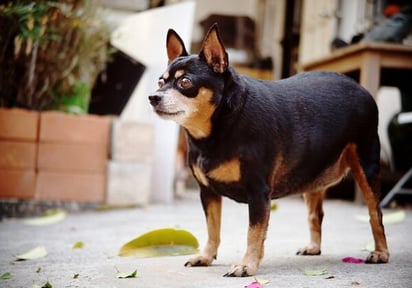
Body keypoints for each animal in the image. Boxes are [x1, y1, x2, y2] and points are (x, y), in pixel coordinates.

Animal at [148, 24, 390, 276]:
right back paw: (314, 247)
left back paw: (381, 253)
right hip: (312, 176)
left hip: (366, 167)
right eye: (160, 83)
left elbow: (254, 233)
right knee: (315, 214)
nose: (153, 97)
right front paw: (206, 256)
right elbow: (212, 229)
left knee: (376, 213)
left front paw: (246, 265)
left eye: (185, 82)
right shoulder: (208, 193)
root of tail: (359, 87)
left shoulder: (258, 192)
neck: (221, 124)